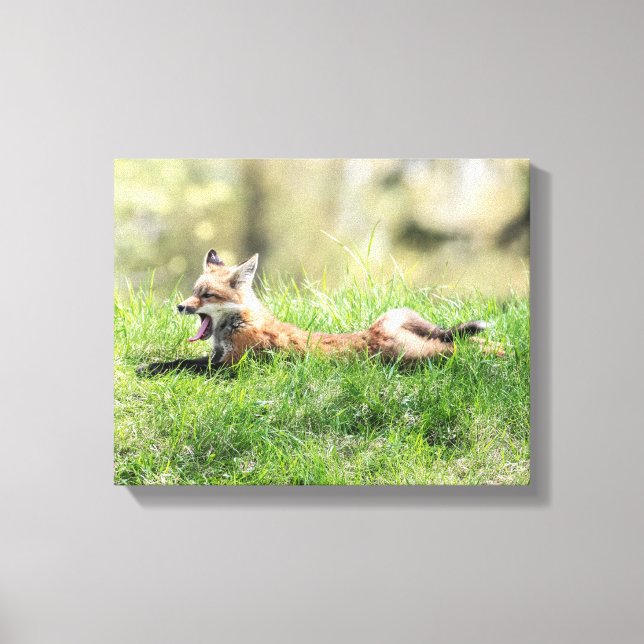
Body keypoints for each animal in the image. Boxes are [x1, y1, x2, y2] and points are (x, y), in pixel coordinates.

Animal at [137, 249, 504, 375]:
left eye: (206, 295)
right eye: (193, 292)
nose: (180, 306)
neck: (238, 325)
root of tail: (375, 330)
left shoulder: (231, 366)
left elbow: (184, 366)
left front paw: (150, 369)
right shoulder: (215, 358)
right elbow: (178, 360)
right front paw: (151, 365)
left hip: (417, 356)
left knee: (458, 347)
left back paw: (499, 354)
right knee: (461, 341)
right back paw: (502, 350)